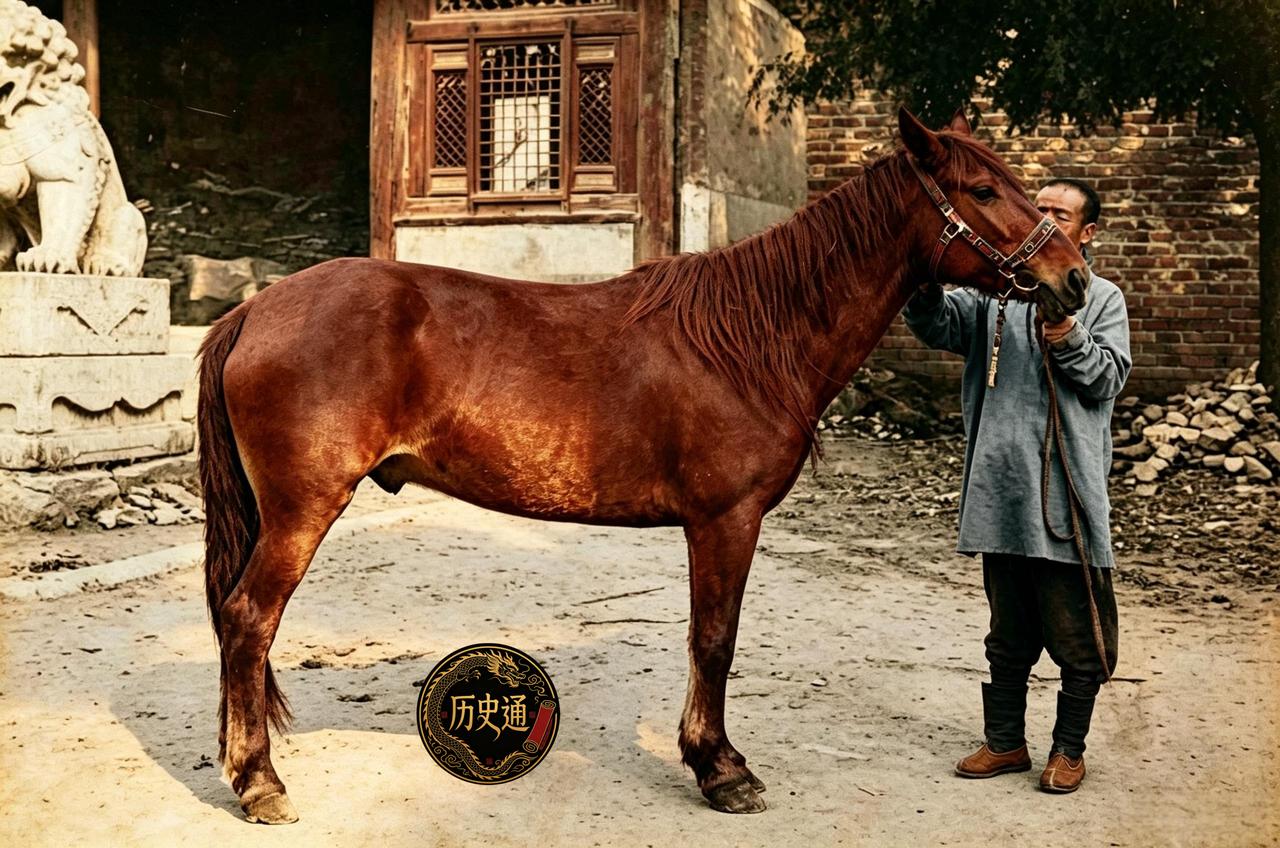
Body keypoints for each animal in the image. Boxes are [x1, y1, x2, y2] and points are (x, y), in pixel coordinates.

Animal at [197, 107, 1089, 824]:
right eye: (982, 190)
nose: (1073, 279)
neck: (752, 338)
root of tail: (255, 309)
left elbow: (708, 639)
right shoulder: (725, 520)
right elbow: (714, 640)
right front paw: (721, 769)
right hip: (303, 510)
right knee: (248, 620)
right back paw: (260, 783)